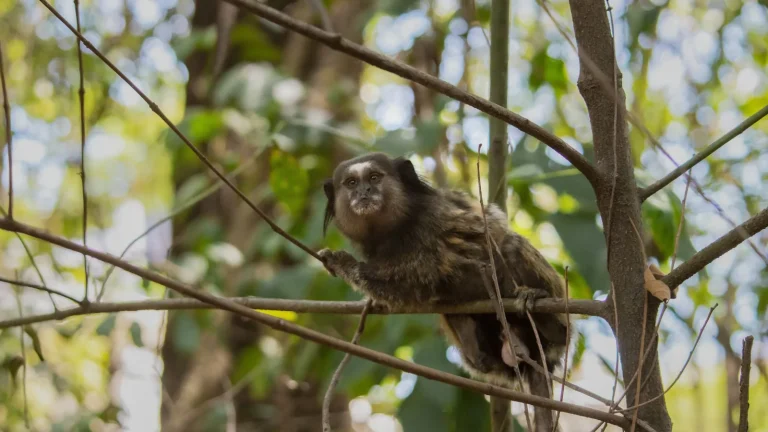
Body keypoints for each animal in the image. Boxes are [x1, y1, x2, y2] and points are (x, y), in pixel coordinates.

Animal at [317, 152, 570, 420]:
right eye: (351, 183)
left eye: (374, 177)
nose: (364, 191)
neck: (393, 230)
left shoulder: (435, 219)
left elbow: (435, 271)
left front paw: (343, 263)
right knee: (472, 345)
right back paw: (473, 342)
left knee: (512, 245)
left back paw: (546, 319)